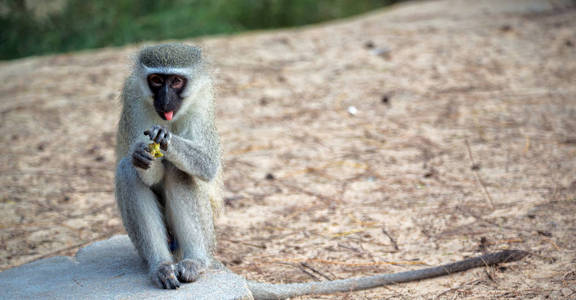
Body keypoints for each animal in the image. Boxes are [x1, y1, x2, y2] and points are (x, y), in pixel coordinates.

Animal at [113, 43, 528, 298]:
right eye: (156, 80)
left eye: (177, 81)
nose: (165, 101)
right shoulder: (133, 99)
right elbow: (141, 168)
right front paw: (142, 152)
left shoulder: (202, 103)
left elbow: (206, 165)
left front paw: (165, 144)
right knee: (125, 172)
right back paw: (161, 267)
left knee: (179, 173)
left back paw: (194, 263)